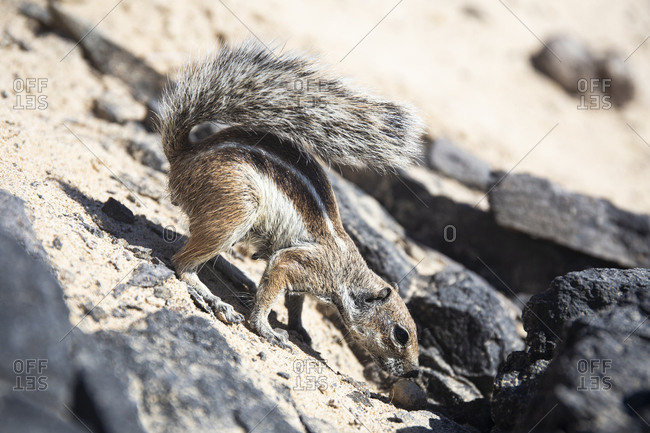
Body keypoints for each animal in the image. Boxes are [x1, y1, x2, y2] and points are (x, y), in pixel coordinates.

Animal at [157, 42, 424, 377]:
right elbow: (271, 288)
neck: (348, 272)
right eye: (401, 334)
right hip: (236, 206)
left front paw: (299, 328)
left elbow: (295, 302)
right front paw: (266, 328)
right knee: (182, 264)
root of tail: (184, 157)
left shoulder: (304, 277)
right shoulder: (299, 263)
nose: (414, 372)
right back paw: (214, 300)